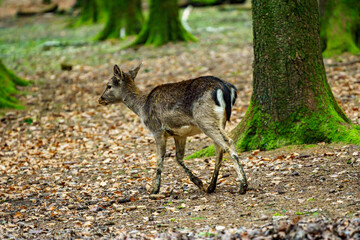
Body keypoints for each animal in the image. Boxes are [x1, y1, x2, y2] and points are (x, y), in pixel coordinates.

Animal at [98, 63, 248, 195]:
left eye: (109, 85)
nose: (100, 99)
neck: (142, 108)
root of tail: (226, 89)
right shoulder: (179, 134)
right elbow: (178, 158)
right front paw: (199, 183)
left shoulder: (157, 130)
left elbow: (159, 159)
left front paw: (154, 190)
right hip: (219, 121)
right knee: (219, 150)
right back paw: (211, 186)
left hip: (205, 119)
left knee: (229, 143)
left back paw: (242, 186)